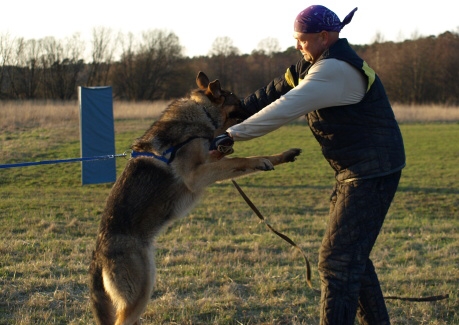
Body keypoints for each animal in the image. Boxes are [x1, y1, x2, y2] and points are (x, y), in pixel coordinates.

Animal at [90, 71, 304, 324]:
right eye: (239, 102)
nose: (262, 105)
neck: (201, 112)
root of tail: (98, 257)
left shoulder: (209, 164)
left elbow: (237, 161)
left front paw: (283, 155)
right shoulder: (197, 175)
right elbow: (240, 160)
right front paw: (260, 160)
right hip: (139, 292)